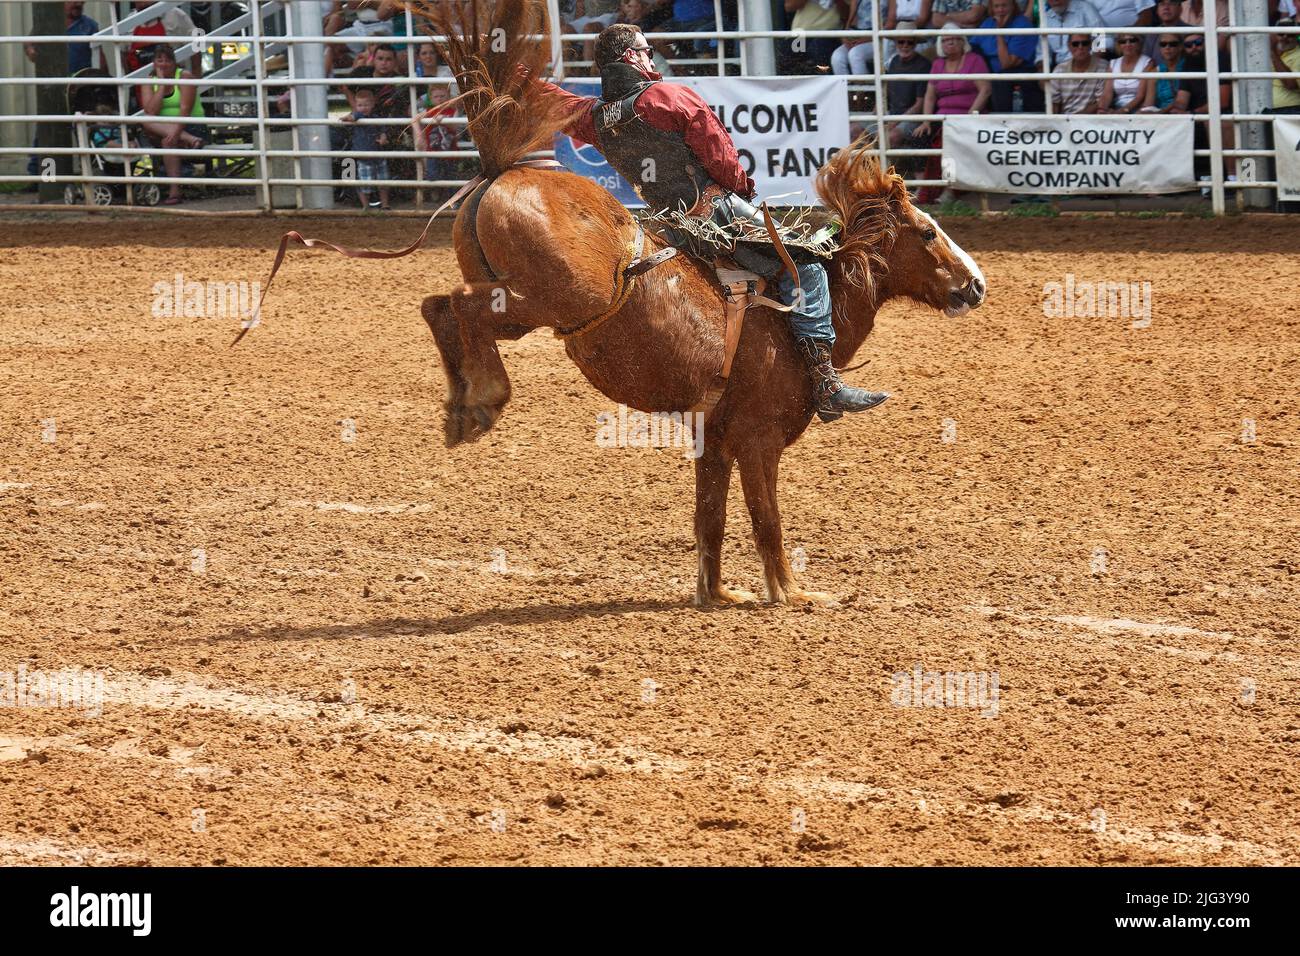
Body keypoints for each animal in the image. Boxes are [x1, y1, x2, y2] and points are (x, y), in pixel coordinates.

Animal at [413, 0, 987, 605]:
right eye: (927, 232)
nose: (975, 284)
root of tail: (503, 173)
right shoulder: (758, 440)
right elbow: (766, 519)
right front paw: (792, 593)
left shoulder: (713, 439)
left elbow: (709, 517)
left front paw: (717, 593)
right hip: (551, 301)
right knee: (459, 303)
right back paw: (485, 398)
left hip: (528, 307)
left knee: (439, 305)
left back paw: (462, 406)